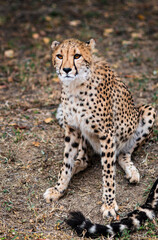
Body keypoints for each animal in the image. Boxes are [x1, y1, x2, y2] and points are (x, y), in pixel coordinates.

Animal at [43, 38, 156, 218]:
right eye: (59, 56)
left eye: (77, 56)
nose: (66, 70)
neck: (75, 86)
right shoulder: (72, 129)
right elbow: (66, 162)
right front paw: (58, 188)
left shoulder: (107, 134)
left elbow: (108, 172)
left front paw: (109, 204)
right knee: (84, 160)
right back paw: (76, 166)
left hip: (147, 111)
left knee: (122, 154)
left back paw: (131, 172)